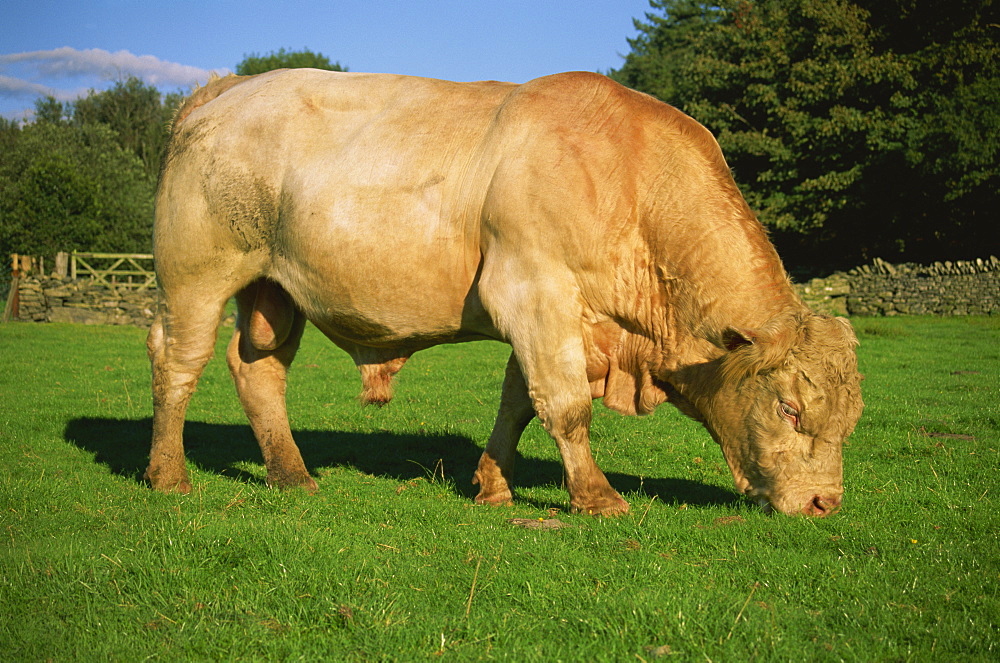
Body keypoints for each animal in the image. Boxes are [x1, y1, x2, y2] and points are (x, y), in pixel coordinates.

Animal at [145, 71, 864, 520]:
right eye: (791, 408)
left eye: (851, 419)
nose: (825, 503)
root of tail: (226, 88)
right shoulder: (532, 289)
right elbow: (566, 406)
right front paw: (597, 497)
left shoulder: (547, 314)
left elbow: (519, 403)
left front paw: (492, 484)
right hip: (195, 276)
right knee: (178, 364)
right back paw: (168, 476)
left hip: (273, 291)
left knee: (258, 369)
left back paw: (291, 474)